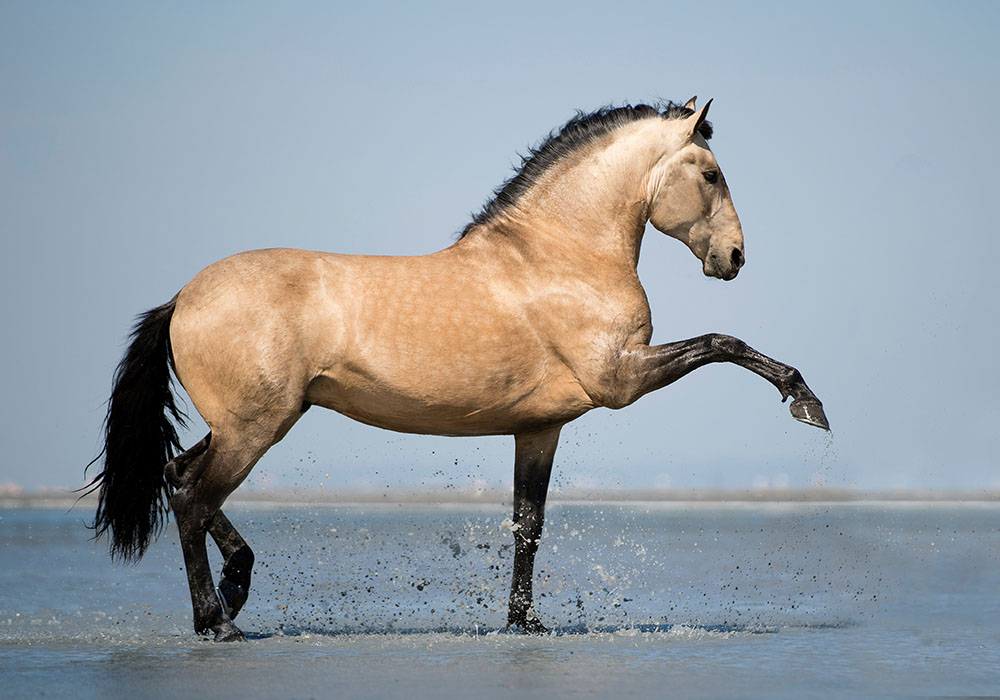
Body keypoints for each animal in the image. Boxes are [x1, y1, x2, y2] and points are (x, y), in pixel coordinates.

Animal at [90, 97, 828, 640]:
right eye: (710, 173)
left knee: (178, 477)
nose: (734, 257)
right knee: (192, 495)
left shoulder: (541, 427)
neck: (558, 256)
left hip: (249, 422)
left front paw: (524, 623)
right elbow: (722, 341)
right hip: (255, 426)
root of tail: (183, 298)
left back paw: (236, 587)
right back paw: (218, 622)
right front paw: (805, 400)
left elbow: (527, 525)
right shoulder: (622, 377)